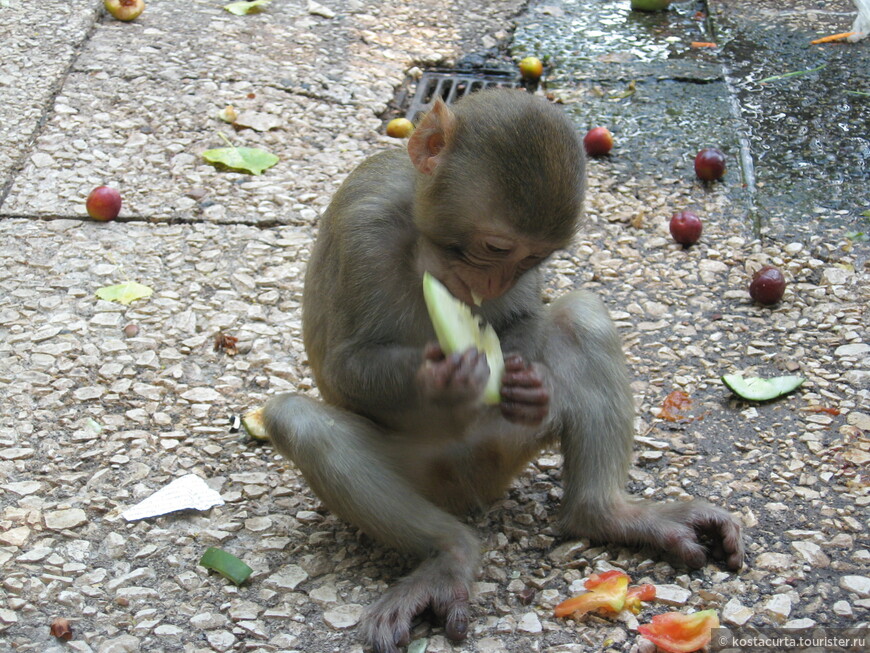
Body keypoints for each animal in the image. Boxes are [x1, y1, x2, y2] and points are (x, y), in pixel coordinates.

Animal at [266, 88, 744, 652]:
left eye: (531, 258)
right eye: (494, 247)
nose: (492, 281)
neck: (418, 232)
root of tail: (474, 487)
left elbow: (519, 322)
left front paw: (527, 385)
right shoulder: (363, 224)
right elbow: (345, 365)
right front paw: (442, 381)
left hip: (505, 448)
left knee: (581, 316)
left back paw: (608, 514)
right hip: (430, 476)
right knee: (303, 423)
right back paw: (448, 554)